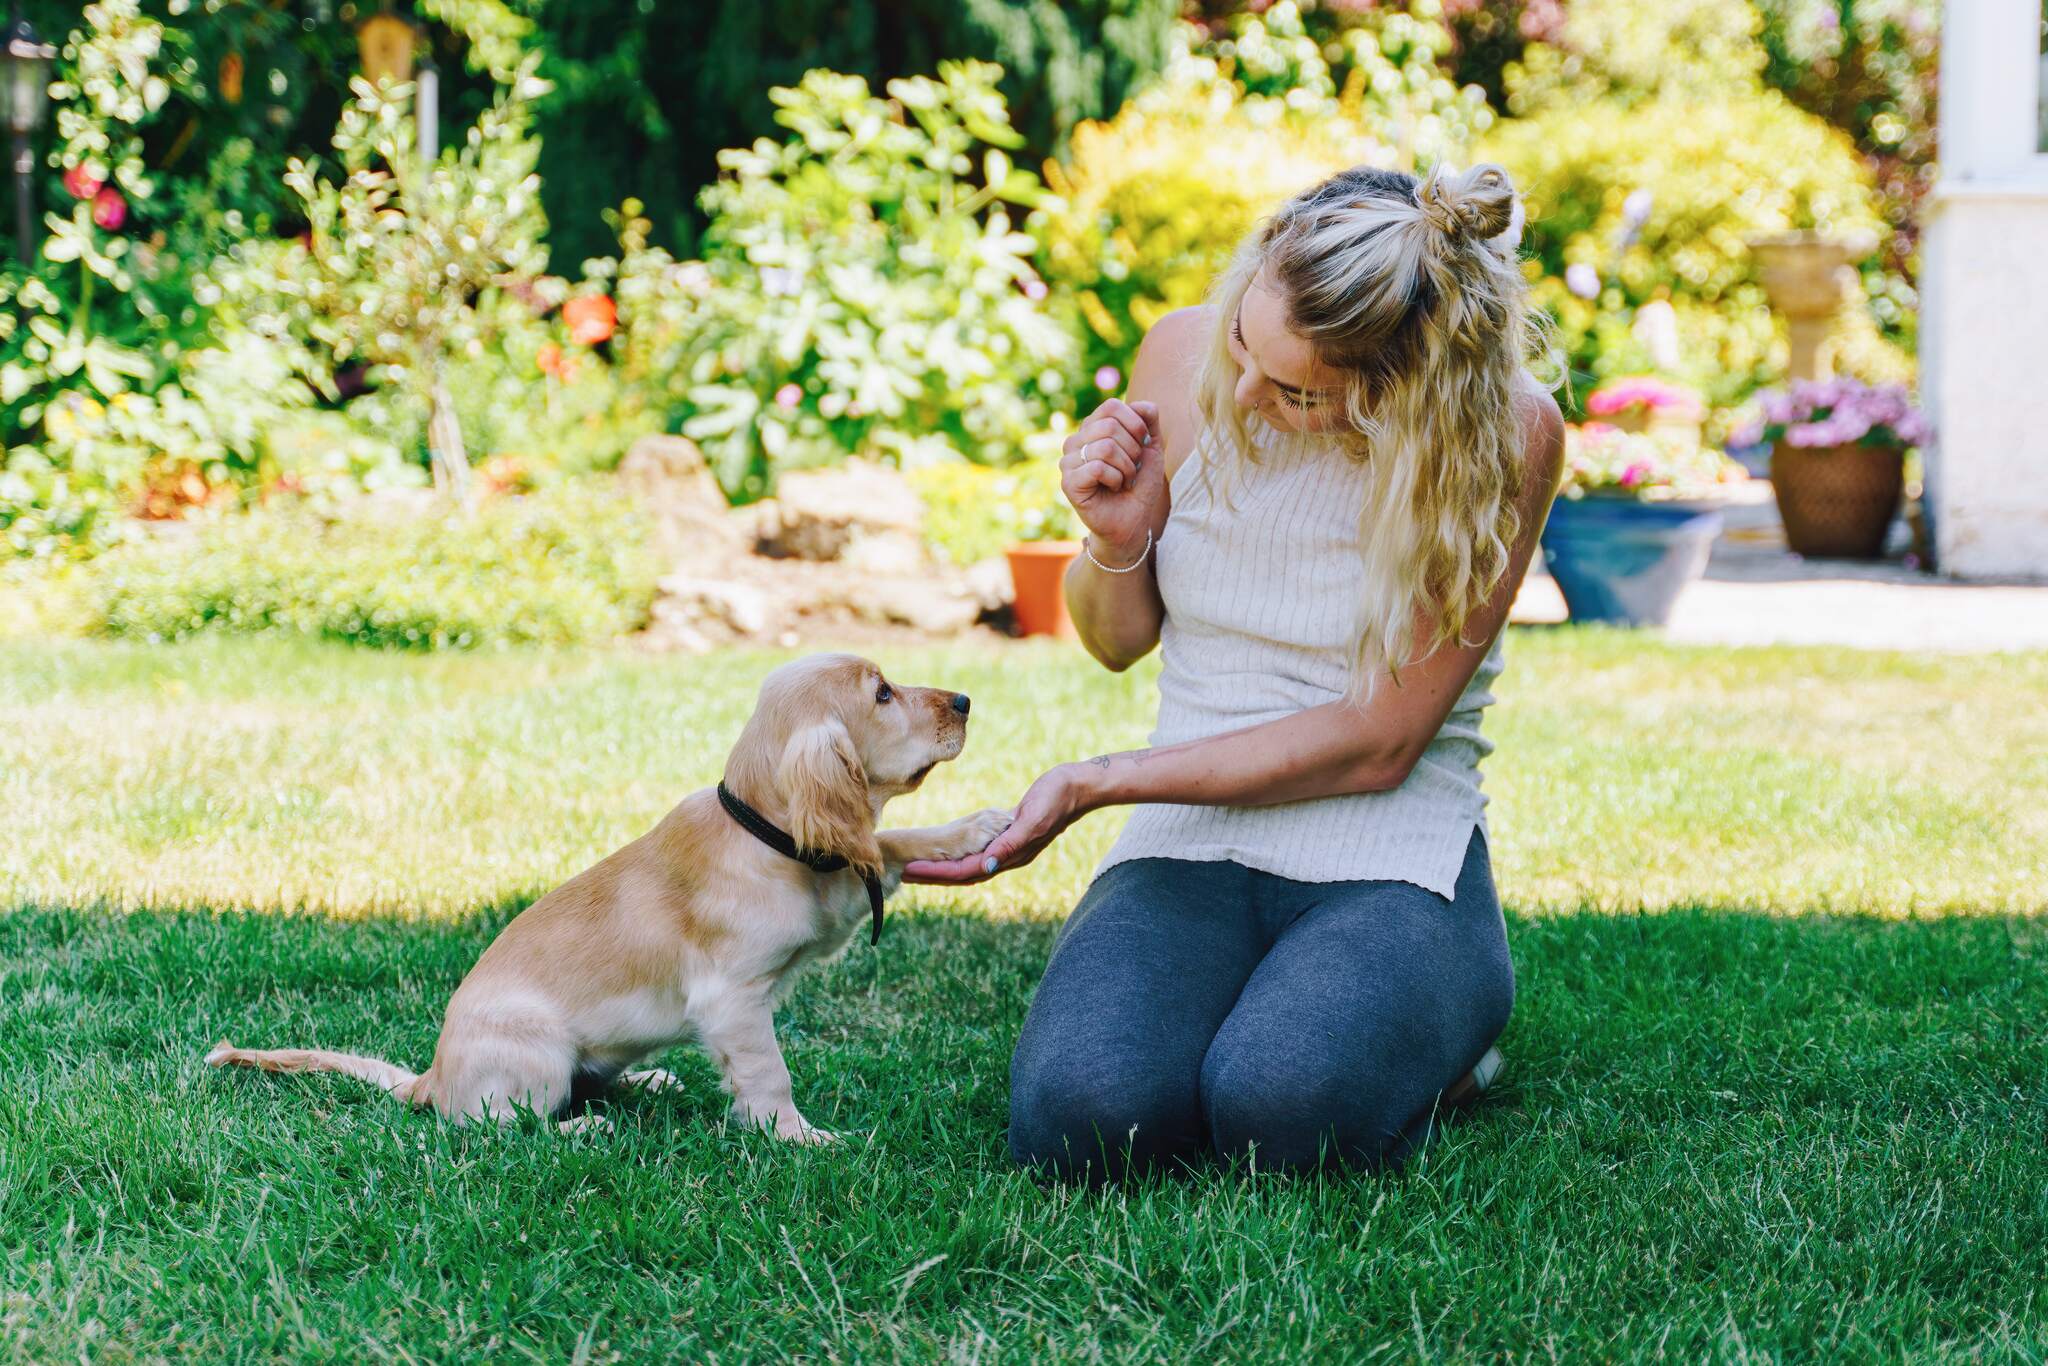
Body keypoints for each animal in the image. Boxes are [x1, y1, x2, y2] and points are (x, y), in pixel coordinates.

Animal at [207, 655, 1007, 1146]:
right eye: (882, 694)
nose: (968, 700)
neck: (762, 832)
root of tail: (430, 1078)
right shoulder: (734, 999)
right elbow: (768, 1074)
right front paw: (799, 1136)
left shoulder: (831, 891)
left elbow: (891, 840)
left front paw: (976, 827)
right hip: (536, 1051)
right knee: (495, 1125)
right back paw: (578, 1129)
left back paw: (647, 1080)